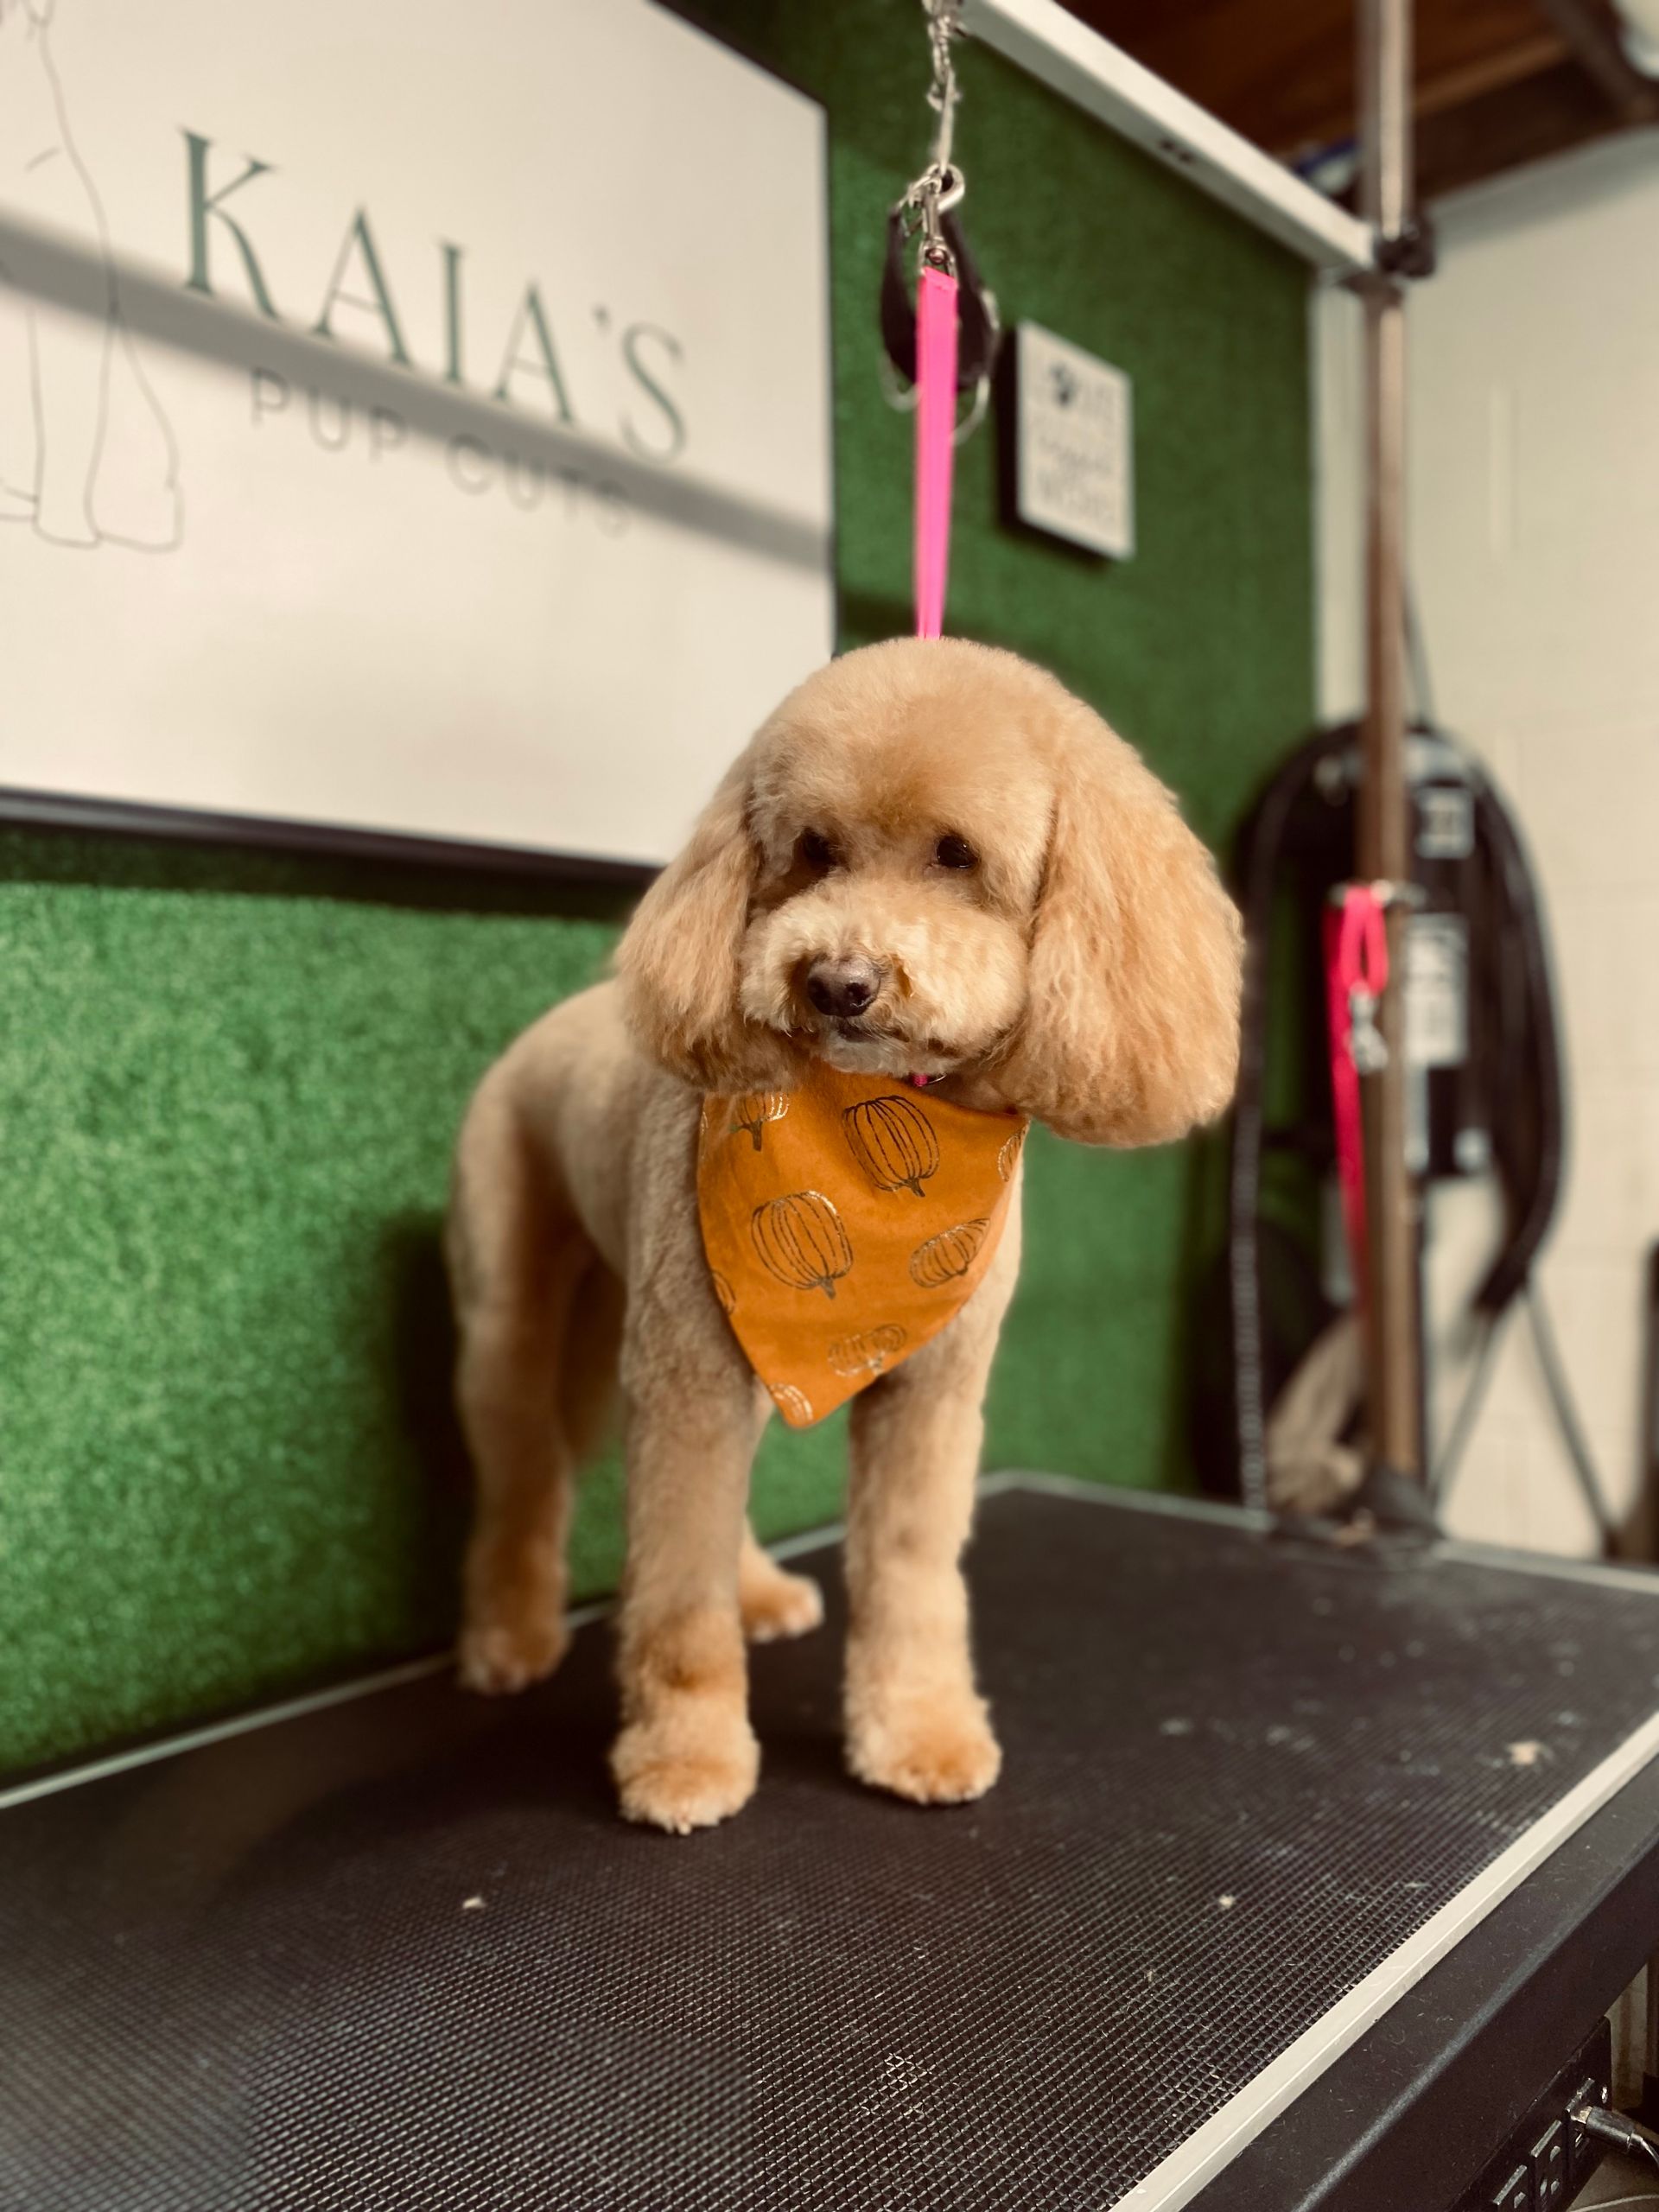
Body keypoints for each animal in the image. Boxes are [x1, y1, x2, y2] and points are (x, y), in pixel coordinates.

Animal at [445, 637, 1242, 1833]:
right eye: (814, 851)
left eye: (957, 854)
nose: (836, 979)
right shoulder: (687, 1379)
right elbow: (674, 1595)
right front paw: (684, 1758)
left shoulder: (926, 1395)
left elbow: (911, 1577)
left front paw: (916, 1733)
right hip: (517, 1309)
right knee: (523, 1475)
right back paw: (508, 1633)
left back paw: (758, 1590)